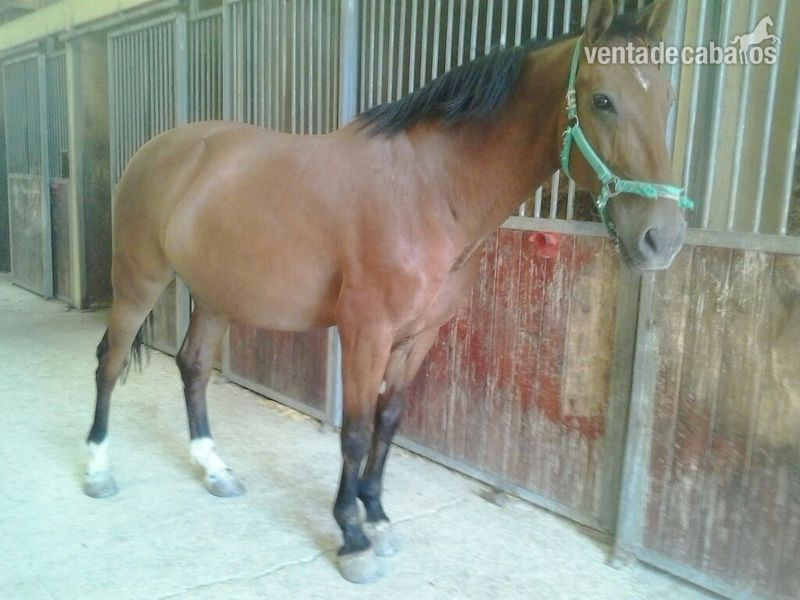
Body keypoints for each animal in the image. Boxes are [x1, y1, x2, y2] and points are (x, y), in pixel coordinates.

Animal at [84, 0, 687, 583]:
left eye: (667, 99)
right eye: (603, 100)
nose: (663, 239)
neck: (429, 191)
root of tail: (160, 149)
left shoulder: (418, 337)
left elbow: (389, 421)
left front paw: (376, 514)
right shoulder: (365, 334)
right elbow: (354, 431)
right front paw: (352, 537)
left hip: (215, 294)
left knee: (193, 367)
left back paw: (215, 469)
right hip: (139, 280)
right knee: (110, 360)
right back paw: (97, 469)